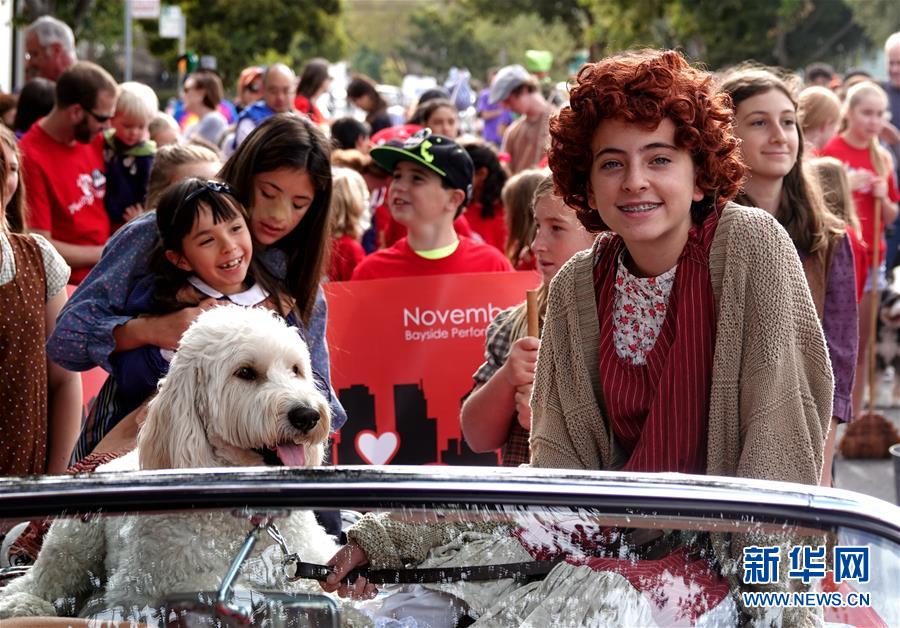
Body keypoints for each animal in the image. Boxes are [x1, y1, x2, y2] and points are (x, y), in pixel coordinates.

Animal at [0, 306, 343, 623]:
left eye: (296, 370)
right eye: (245, 372)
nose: (307, 415)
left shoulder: (314, 559)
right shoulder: (140, 587)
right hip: (73, 541)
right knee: (41, 583)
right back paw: (23, 605)